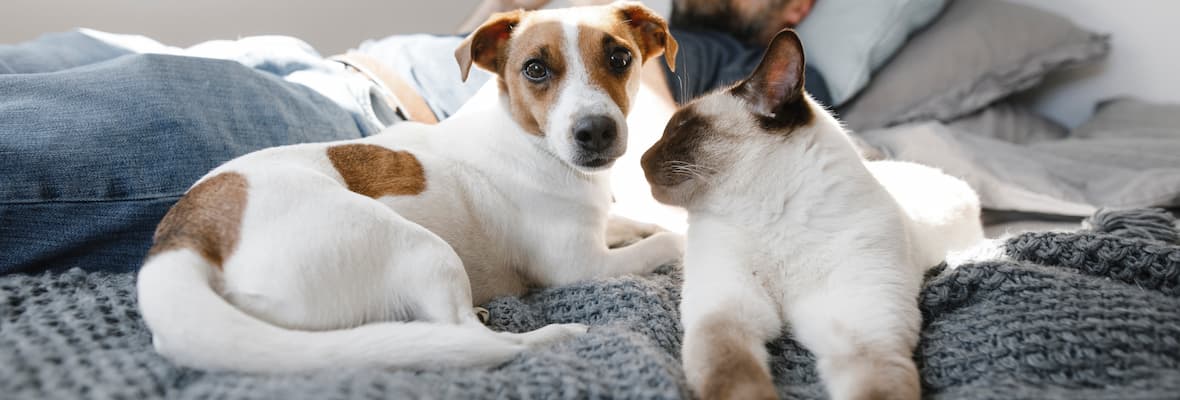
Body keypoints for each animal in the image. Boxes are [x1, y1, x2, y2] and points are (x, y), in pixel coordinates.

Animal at [135, 1, 684, 375]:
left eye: (620, 58)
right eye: (535, 69)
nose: (596, 132)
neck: (528, 139)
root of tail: (184, 236)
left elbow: (634, 222)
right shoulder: (580, 265)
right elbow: (665, 241)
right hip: (422, 249)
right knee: (477, 340)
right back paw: (544, 334)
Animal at [641, 29, 981, 398]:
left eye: (681, 126)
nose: (641, 158)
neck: (770, 218)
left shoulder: (866, 338)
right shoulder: (726, 313)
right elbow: (739, 382)